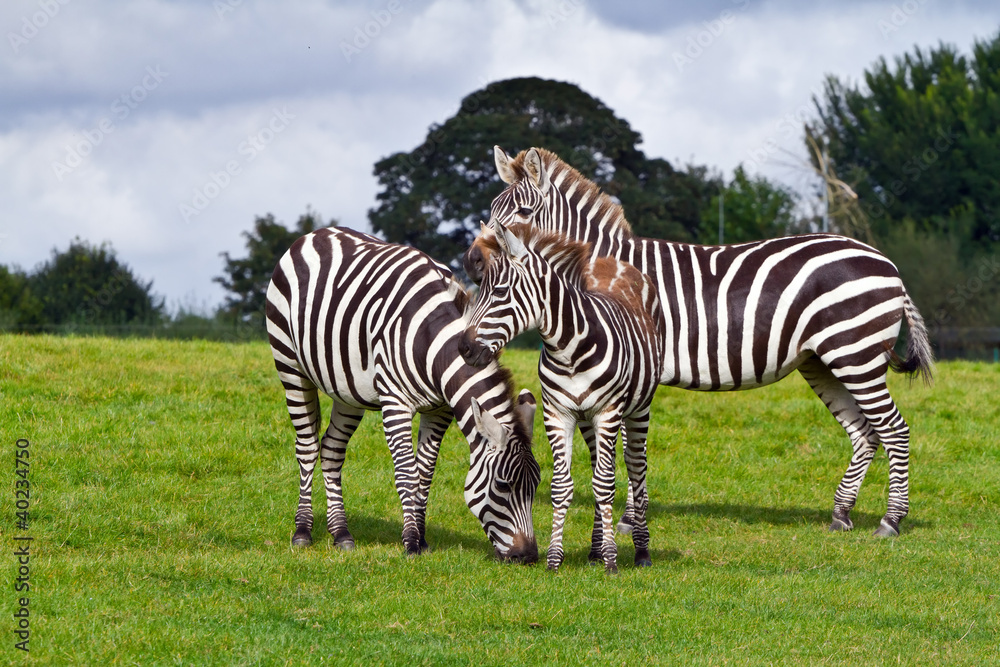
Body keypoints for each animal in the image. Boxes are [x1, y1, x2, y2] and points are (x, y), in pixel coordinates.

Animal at [266, 227, 544, 560]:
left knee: (331, 450)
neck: (433, 344)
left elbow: (424, 474)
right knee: (307, 447)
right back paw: (303, 531)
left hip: (347, 388)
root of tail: (315, 233)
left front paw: (422, 539)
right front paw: (410, 542)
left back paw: (341, 533)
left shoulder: (439, 410)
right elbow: (406, 473)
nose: (528, 556)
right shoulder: (396, 404)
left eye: (535, 485)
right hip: (289, 364)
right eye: (503, 485)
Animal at [458, 220, 664, 576]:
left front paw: (612, 561)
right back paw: (595, 550)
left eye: (499, 293)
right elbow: (563, 485)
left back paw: (640, 551)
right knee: (599, 467)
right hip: (588, 422)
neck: (569, 350)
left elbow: (606, 483)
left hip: (637, 410)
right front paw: (556, 559)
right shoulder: (558, 414)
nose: (463, 348)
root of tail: (614, 261)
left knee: (635, 468)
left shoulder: (608, 412)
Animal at [464, 145, 932, 536]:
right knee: (864, 433)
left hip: (855, 355)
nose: (472, 262)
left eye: (524, 212)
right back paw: (841, 514)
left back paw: (891, 520)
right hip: (823, 361)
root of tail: (886, 262)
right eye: (491, 209)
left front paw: (628, 519)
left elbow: (628, 448)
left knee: (895, 430)